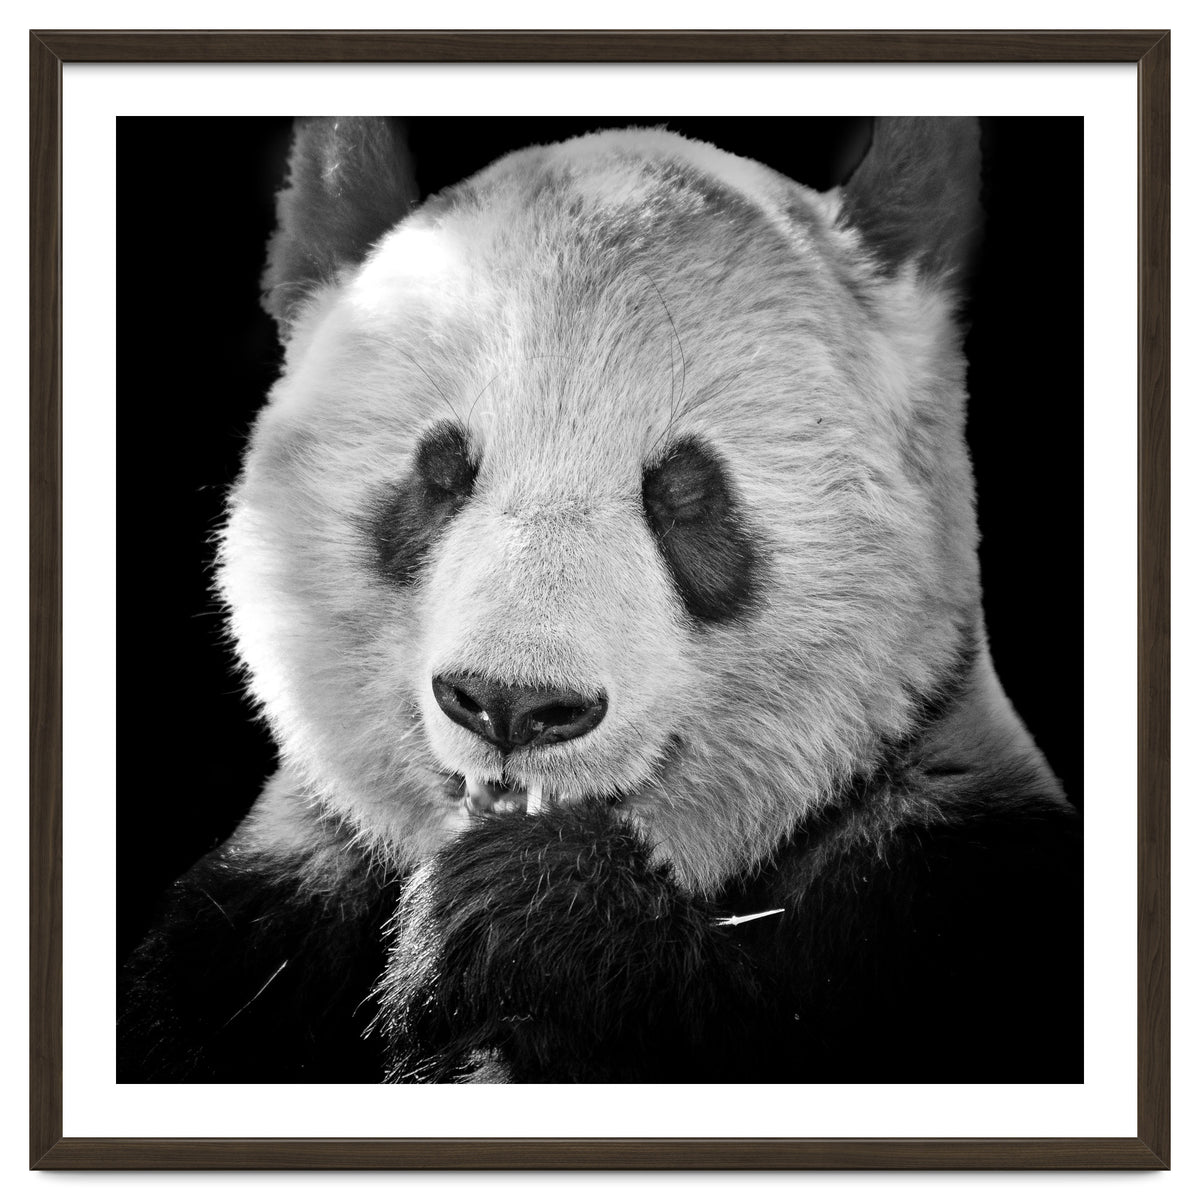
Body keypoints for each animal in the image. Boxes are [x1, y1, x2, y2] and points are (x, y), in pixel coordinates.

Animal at [119, 116, 1082, 1085]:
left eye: (685, 495)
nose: (512, 704)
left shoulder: (945, 887)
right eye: (440, 473)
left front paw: (531, 914)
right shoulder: (259, 922)